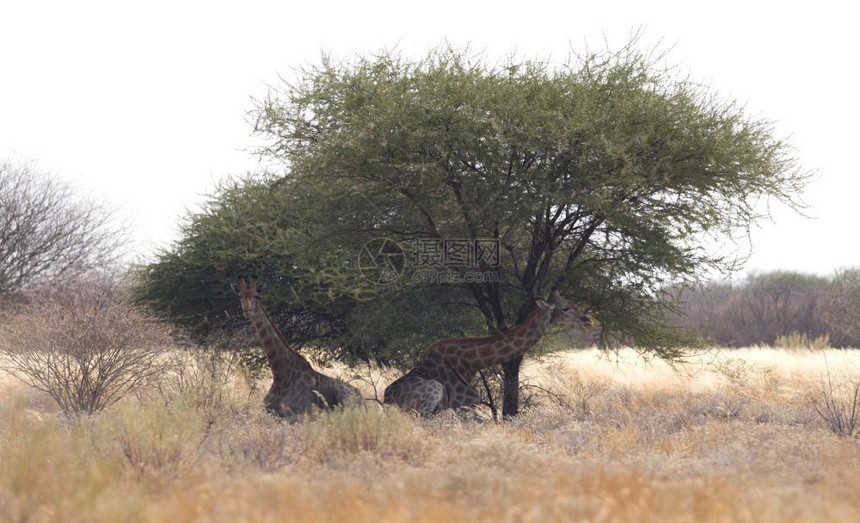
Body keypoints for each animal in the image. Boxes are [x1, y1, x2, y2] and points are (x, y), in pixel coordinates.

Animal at [230, 274, 362, 418]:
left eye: (256, 296)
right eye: (240, 296)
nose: (247, 311)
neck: (280, 375)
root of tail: (362, 399)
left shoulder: (302, 413)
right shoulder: (270, 411)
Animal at [384, 290, 592, 418]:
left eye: (572, 303)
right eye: (565, 307)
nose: (587, 320)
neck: (471, 363)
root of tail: (387, 401)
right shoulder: (461, 403)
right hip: (432, 393)